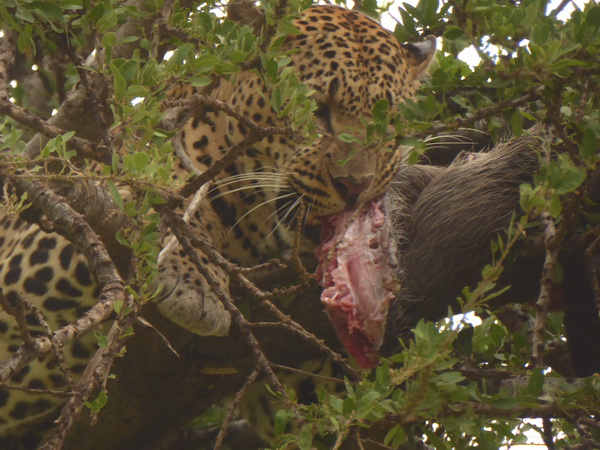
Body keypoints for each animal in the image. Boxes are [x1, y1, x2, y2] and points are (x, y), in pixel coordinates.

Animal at [0, 3, 434, 440]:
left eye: (391, 126)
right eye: (315, 110)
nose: (354, 185)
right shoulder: (36, 246)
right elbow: (169, 198)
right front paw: (196, 283)